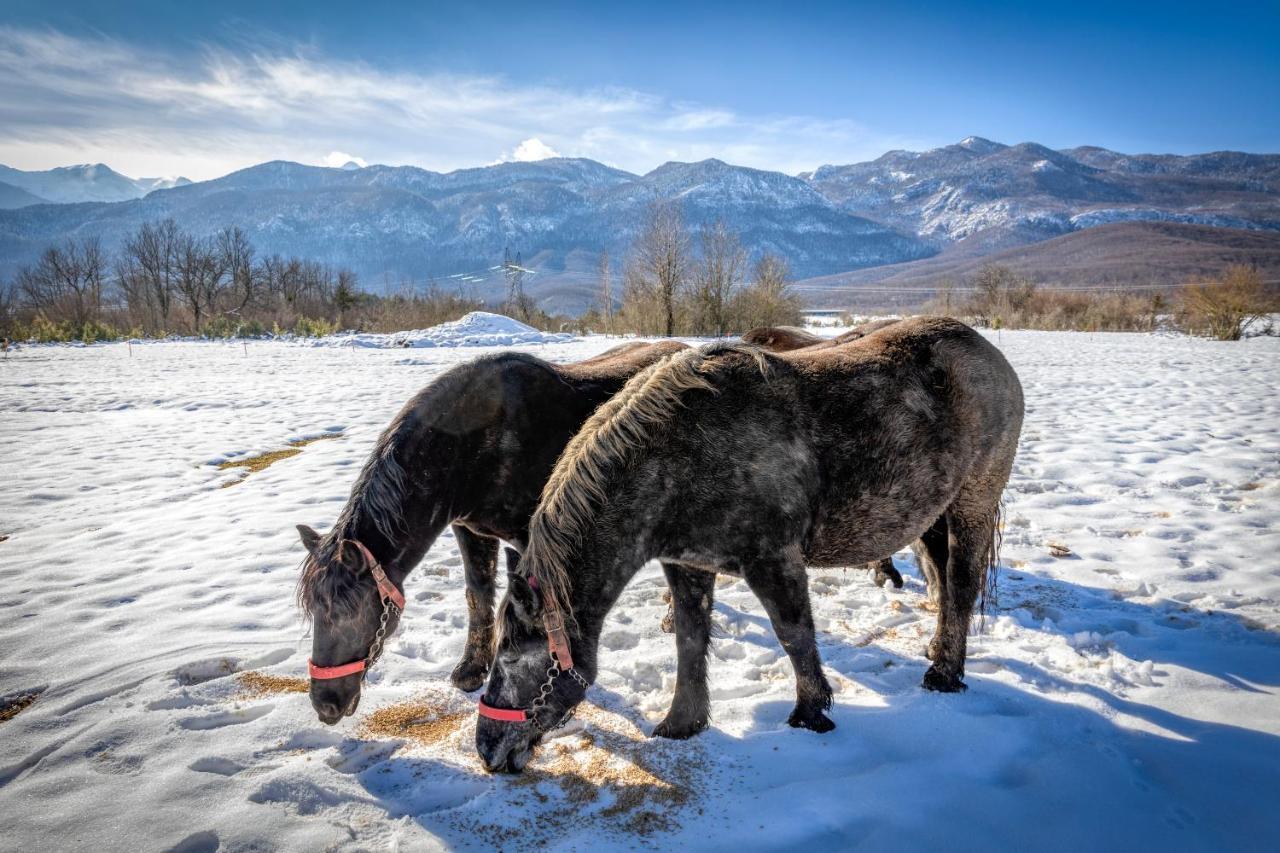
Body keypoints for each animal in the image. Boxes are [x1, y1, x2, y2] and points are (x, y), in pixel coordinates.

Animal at [295, 335, 691, 722]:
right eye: (314, 611)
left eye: (351, 613)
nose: (325, 705)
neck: (472, 449)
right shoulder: (470, 531)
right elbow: (479, 596)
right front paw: (471, 670)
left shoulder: (535, 540)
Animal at [476, 317, 1024, 768]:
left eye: (509, 659)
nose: (486, 749)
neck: (678, 460)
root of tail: (987, 352)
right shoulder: (688, 564)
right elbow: (690, 638)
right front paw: (683, 723)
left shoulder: (773, 560)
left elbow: (794, 634)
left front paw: (811, 712)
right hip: (931, 514)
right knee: (940, 577)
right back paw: (937, 651)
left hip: (972, 504)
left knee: (960, 584)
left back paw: (945, 674)